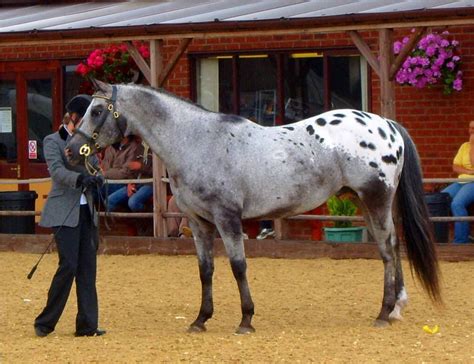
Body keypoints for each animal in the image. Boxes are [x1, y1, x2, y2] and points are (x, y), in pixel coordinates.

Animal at [65, 81, 440, 334]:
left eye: (96, 111)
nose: (70, 150)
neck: (196, 142)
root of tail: (387, 125)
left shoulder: (227, 218)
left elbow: (238, 267)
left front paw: (246, 319)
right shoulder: (198, 222)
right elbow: (206, 270)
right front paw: (201, 319)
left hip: (375, 199)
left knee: (387, 250)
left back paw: (384, 313)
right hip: (369, 202)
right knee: (392, 246)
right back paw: (395, 308)